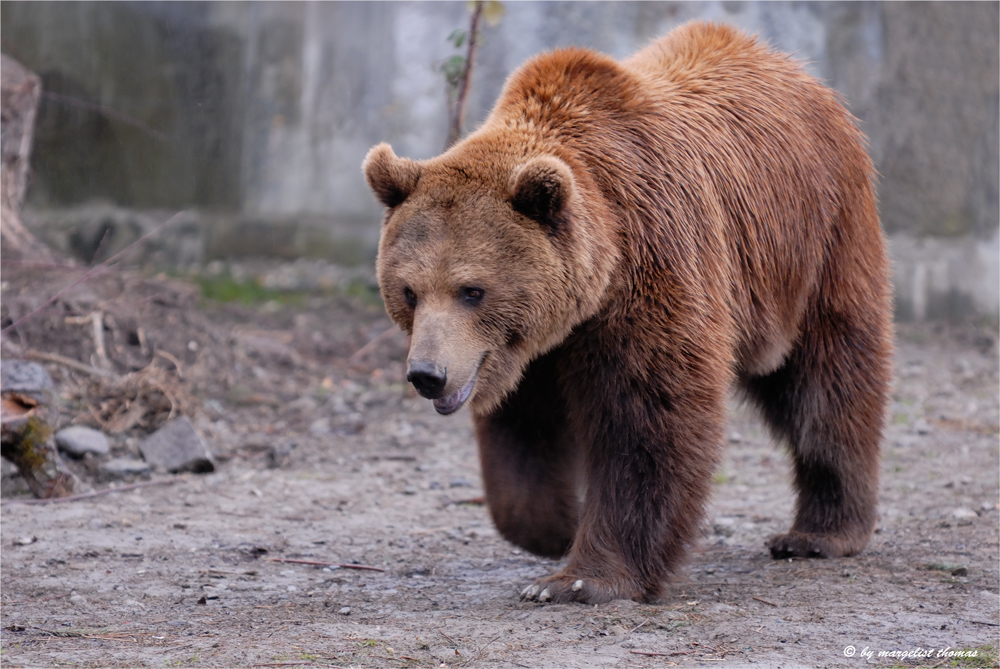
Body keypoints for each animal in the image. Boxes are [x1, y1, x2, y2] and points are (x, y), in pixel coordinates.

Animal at [364, 22, 896, 604]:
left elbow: (647, 417)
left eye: (472, 290)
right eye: (409, 291)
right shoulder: (530, 350)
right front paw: (557, 527)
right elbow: (526, 432)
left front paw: (579, 578)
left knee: (826, 381)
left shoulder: (649, 268)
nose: (427, 375)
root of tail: (794, 69)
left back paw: (819, 532)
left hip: (816, 243)